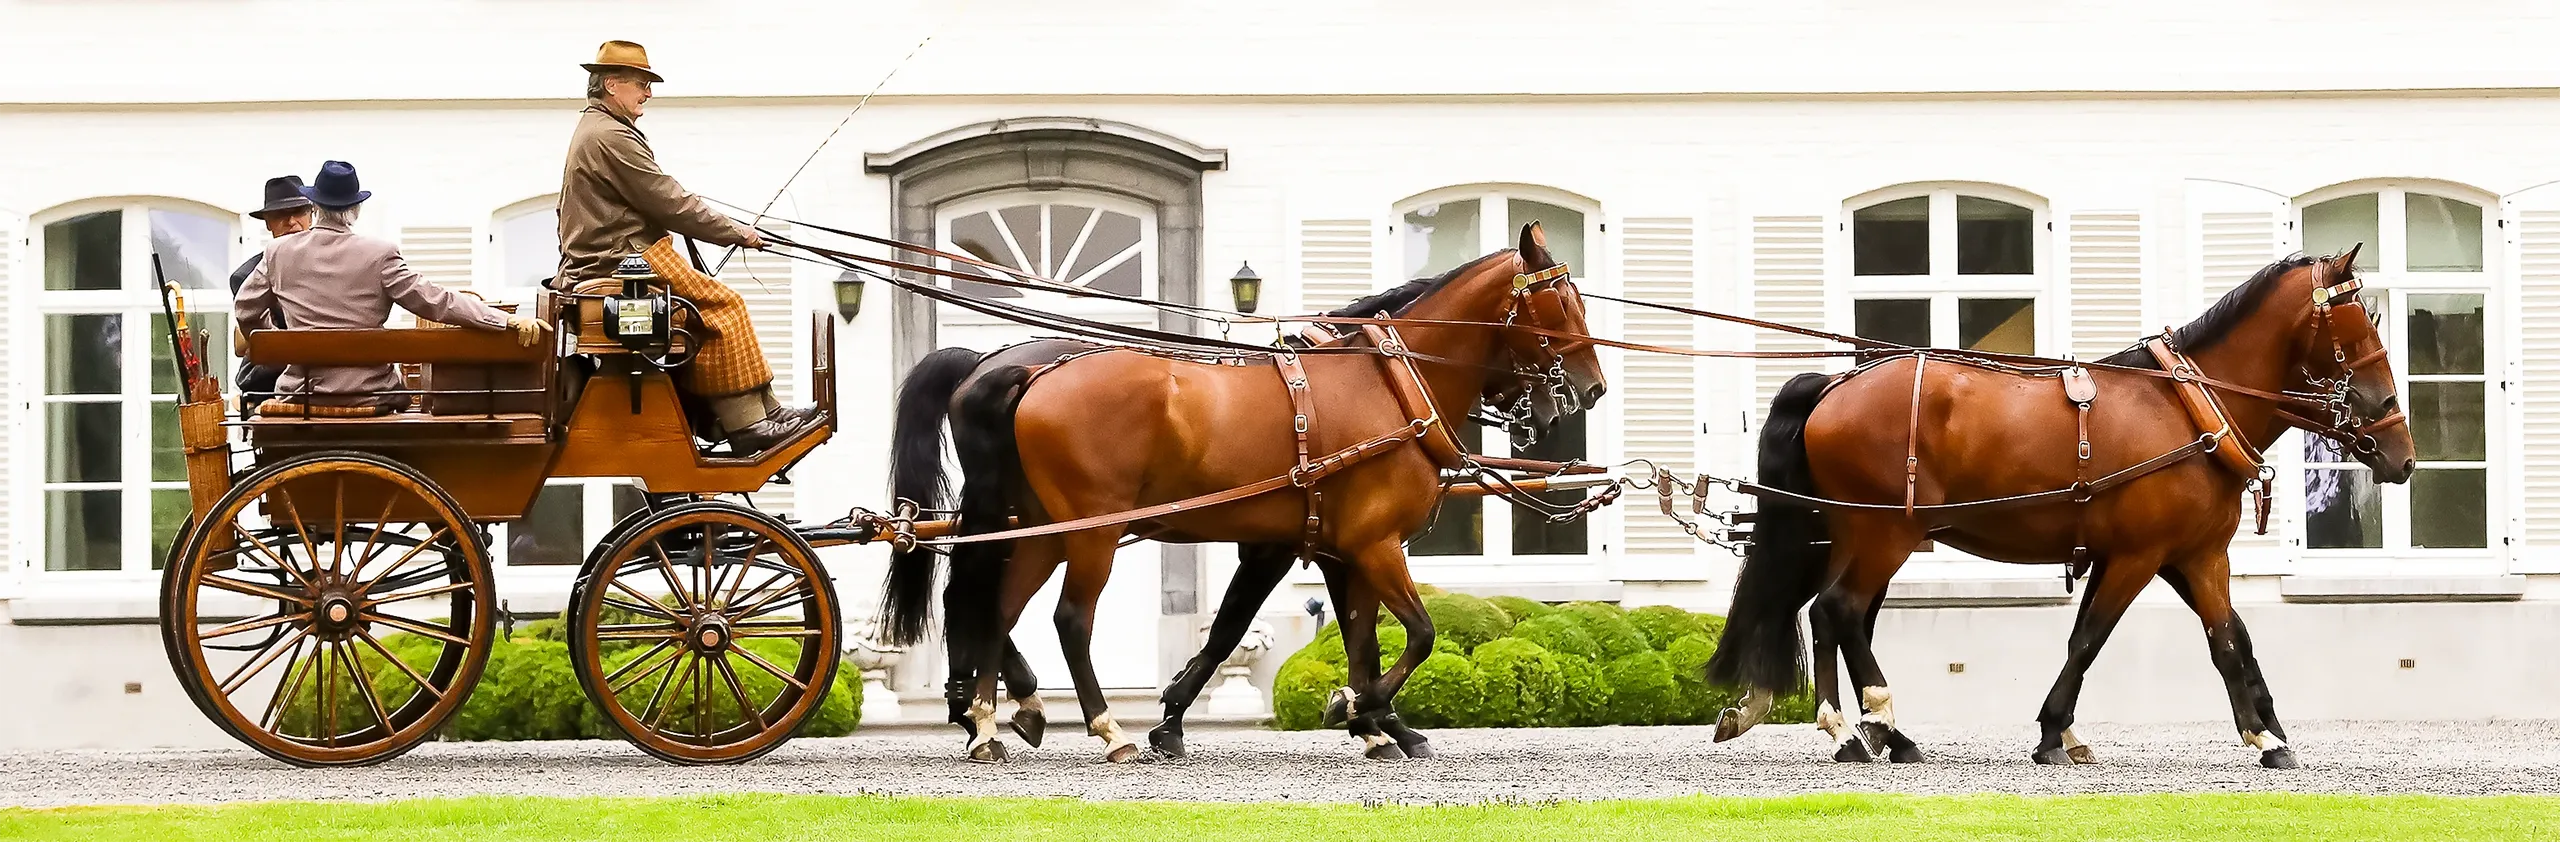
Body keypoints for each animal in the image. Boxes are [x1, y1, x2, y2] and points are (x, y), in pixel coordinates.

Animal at [885, 223, 1605, 762]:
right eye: (1562, 303)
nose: (1587, 390)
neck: (1389, 385)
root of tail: (1032, 372)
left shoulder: (1339, 551)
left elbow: (1357, 638)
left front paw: (1373, 722)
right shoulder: (1369, 545)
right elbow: (1418, 634)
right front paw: (1363, 708)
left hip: (1042, 529)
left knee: (996, 606)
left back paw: (987, 719)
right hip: (1093, 533)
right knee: (1066, 619)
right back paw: (1104, 728)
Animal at [1707, 247, 2414, 769]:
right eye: (2357, 329)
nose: (2400, 451)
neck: (2190, 410)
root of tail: (1837, 382)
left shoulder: (2192, 556)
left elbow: (2230, 637)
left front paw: (2267, 731)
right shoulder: (2138, 557)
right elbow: (2093, 637)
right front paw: (2056, 732)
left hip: (1857, 534)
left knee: (1829, 616)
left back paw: (1857, 731)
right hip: (1887, 534)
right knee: (1840, 610)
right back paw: (1873, 727)